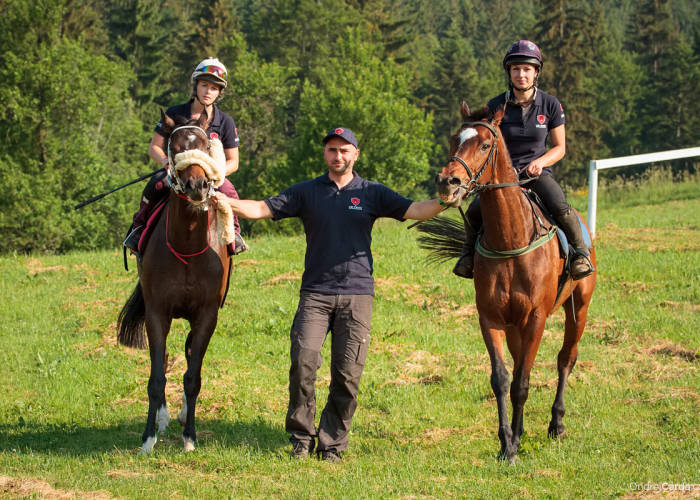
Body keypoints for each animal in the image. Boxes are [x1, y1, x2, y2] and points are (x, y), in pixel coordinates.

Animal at [117, 111, 231, 456]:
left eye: (207, 145)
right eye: (174, 146)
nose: (197, 185)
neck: (188, 244)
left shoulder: (207, 315)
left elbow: (193, 377)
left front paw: (190, 437)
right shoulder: (157, 313)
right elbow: (156, 377)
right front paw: (148, 438)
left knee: (190, 355)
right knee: (167, 358)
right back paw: (166, 417)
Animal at [426, 103, 596, 462]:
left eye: (485, 145)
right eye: (454, 139)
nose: (448, 182)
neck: (510, 239)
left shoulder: (536, 319)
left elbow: (522, 382)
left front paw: (515, 443)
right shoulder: (491, 318)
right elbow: (503, 379)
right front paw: (507, 441)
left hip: (579, 309)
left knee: (565, 359)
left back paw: (556, 424)